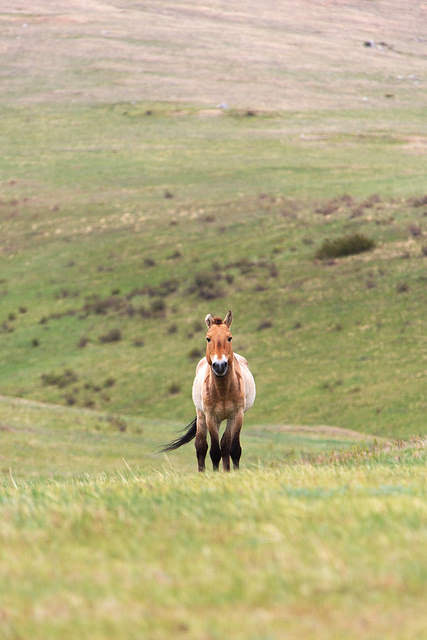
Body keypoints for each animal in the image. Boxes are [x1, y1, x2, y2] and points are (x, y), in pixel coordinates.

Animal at [162, 311, 256, 471]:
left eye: (229, 337)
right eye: (208, 338)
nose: (220, 366)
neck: (222, 390)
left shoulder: (237, 415)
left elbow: (234, 449)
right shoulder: (211, 417)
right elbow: (214, 452)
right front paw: (215, 473)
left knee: (225, 444)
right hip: (202, 416)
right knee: (201, 447)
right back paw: (202, 472)